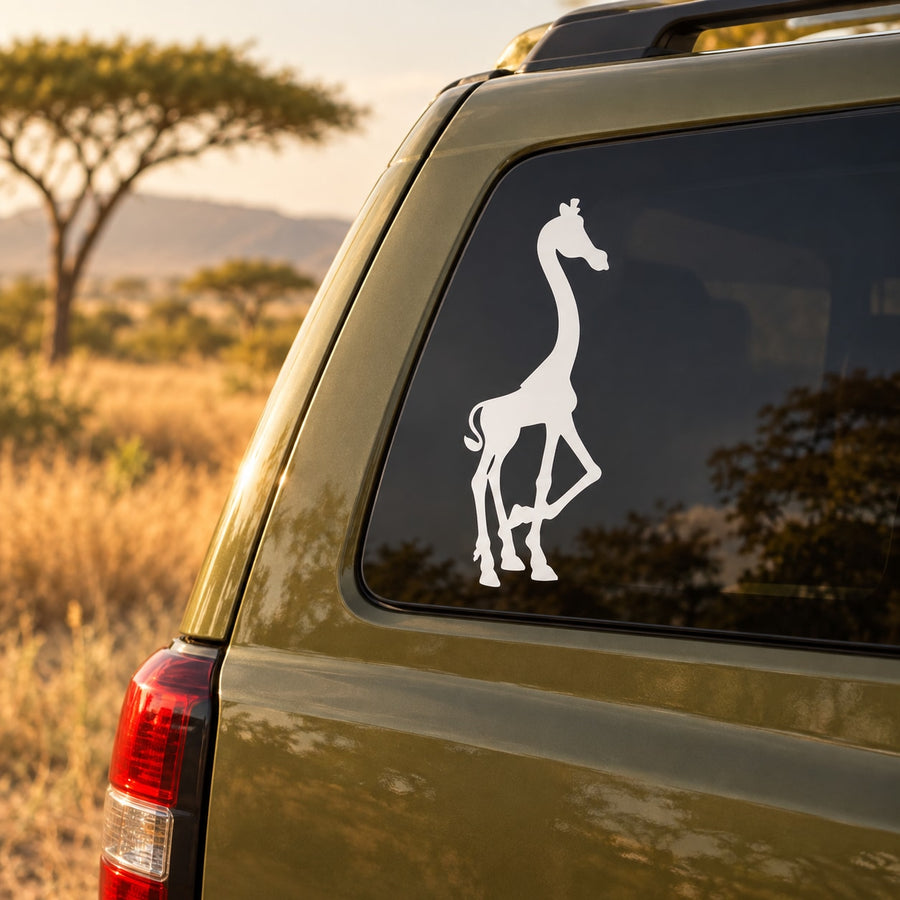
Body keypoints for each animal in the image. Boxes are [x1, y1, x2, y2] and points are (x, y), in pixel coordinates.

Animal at [464, 199, 609, 588]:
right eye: (575, 232)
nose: (602, 258)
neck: (560, 365)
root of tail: (482, 408)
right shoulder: (557, 420)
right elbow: (546, 478)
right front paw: (539, 557)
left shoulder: (559, 421)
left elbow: (590, 470)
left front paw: (524, 528)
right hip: (501, 439)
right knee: (479, 478)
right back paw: (490, 567)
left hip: (507, 440)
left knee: (491, 476)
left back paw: (506, 557)